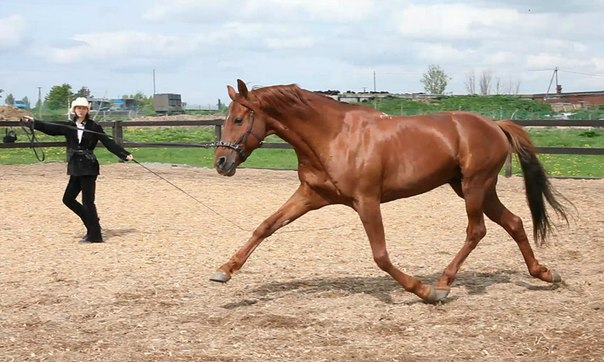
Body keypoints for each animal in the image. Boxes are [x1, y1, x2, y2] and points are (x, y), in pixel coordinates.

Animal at [210, 79, 568, 302]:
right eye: (226, 119)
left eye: (239, 119)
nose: (221, 162)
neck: (333, 135)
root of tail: (494, 125)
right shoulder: (311, 195)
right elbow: (266, 226)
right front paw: (224, 271)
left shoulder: (367, 201)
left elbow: (380, 256)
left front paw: (424, 292)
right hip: (476, 188)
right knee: (514, 223)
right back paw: (545, 274)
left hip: (474, 186)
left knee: (476, 230)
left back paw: (443, 284)